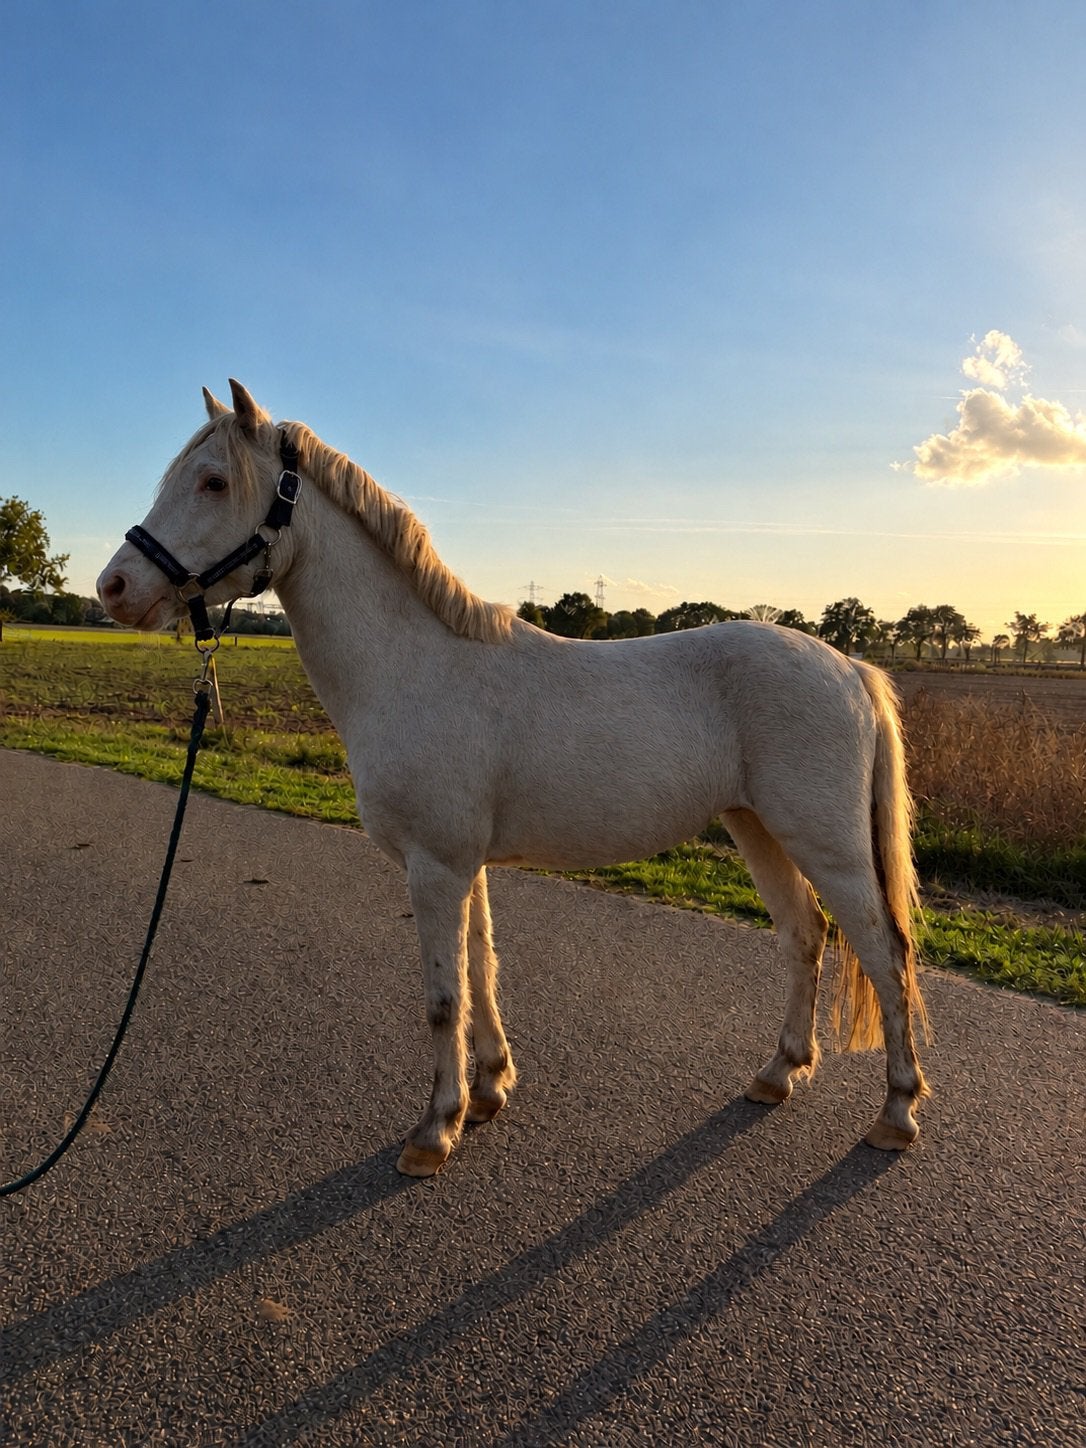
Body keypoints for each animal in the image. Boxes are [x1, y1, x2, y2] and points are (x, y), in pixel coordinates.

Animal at [98, 380, 929, 1177]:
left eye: (212, 481)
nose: (114, 588)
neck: (413, 664)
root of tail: (850, 668)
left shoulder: (435, 865)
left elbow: (444, 996)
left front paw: (435, 1132)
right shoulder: (465, 865)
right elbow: (483, 970)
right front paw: (490, 1088)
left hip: (827, 845)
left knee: (885, 953)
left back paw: (896, 1112)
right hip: (757, 828)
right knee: (805, 934)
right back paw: (779, 1074)